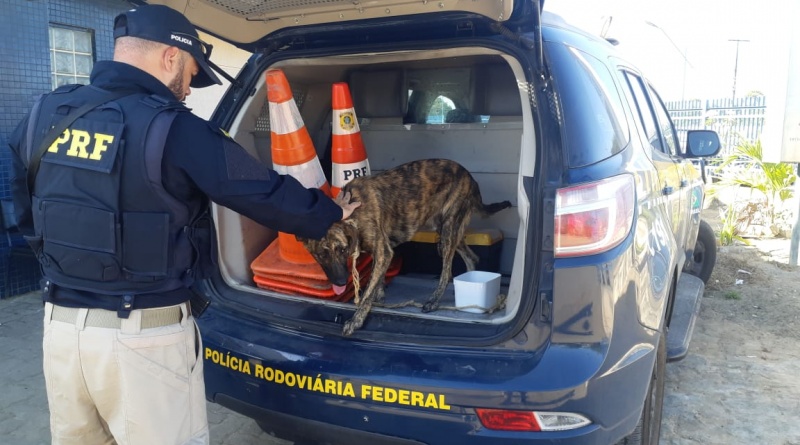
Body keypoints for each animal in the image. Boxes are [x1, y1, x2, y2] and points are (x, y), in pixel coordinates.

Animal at [300, 158, 512, 334]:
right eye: (321, 255)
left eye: (342, 250)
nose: (341, 282)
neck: (352, 211)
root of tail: (470, 177)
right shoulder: (382, 252)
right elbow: (377, 281)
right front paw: (379, 296)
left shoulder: (383, 251)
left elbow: (367, 291)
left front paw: (357, 320)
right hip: (450, 229)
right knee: (472, 257)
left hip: (448, 230)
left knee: (447, 272)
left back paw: (434, 301)